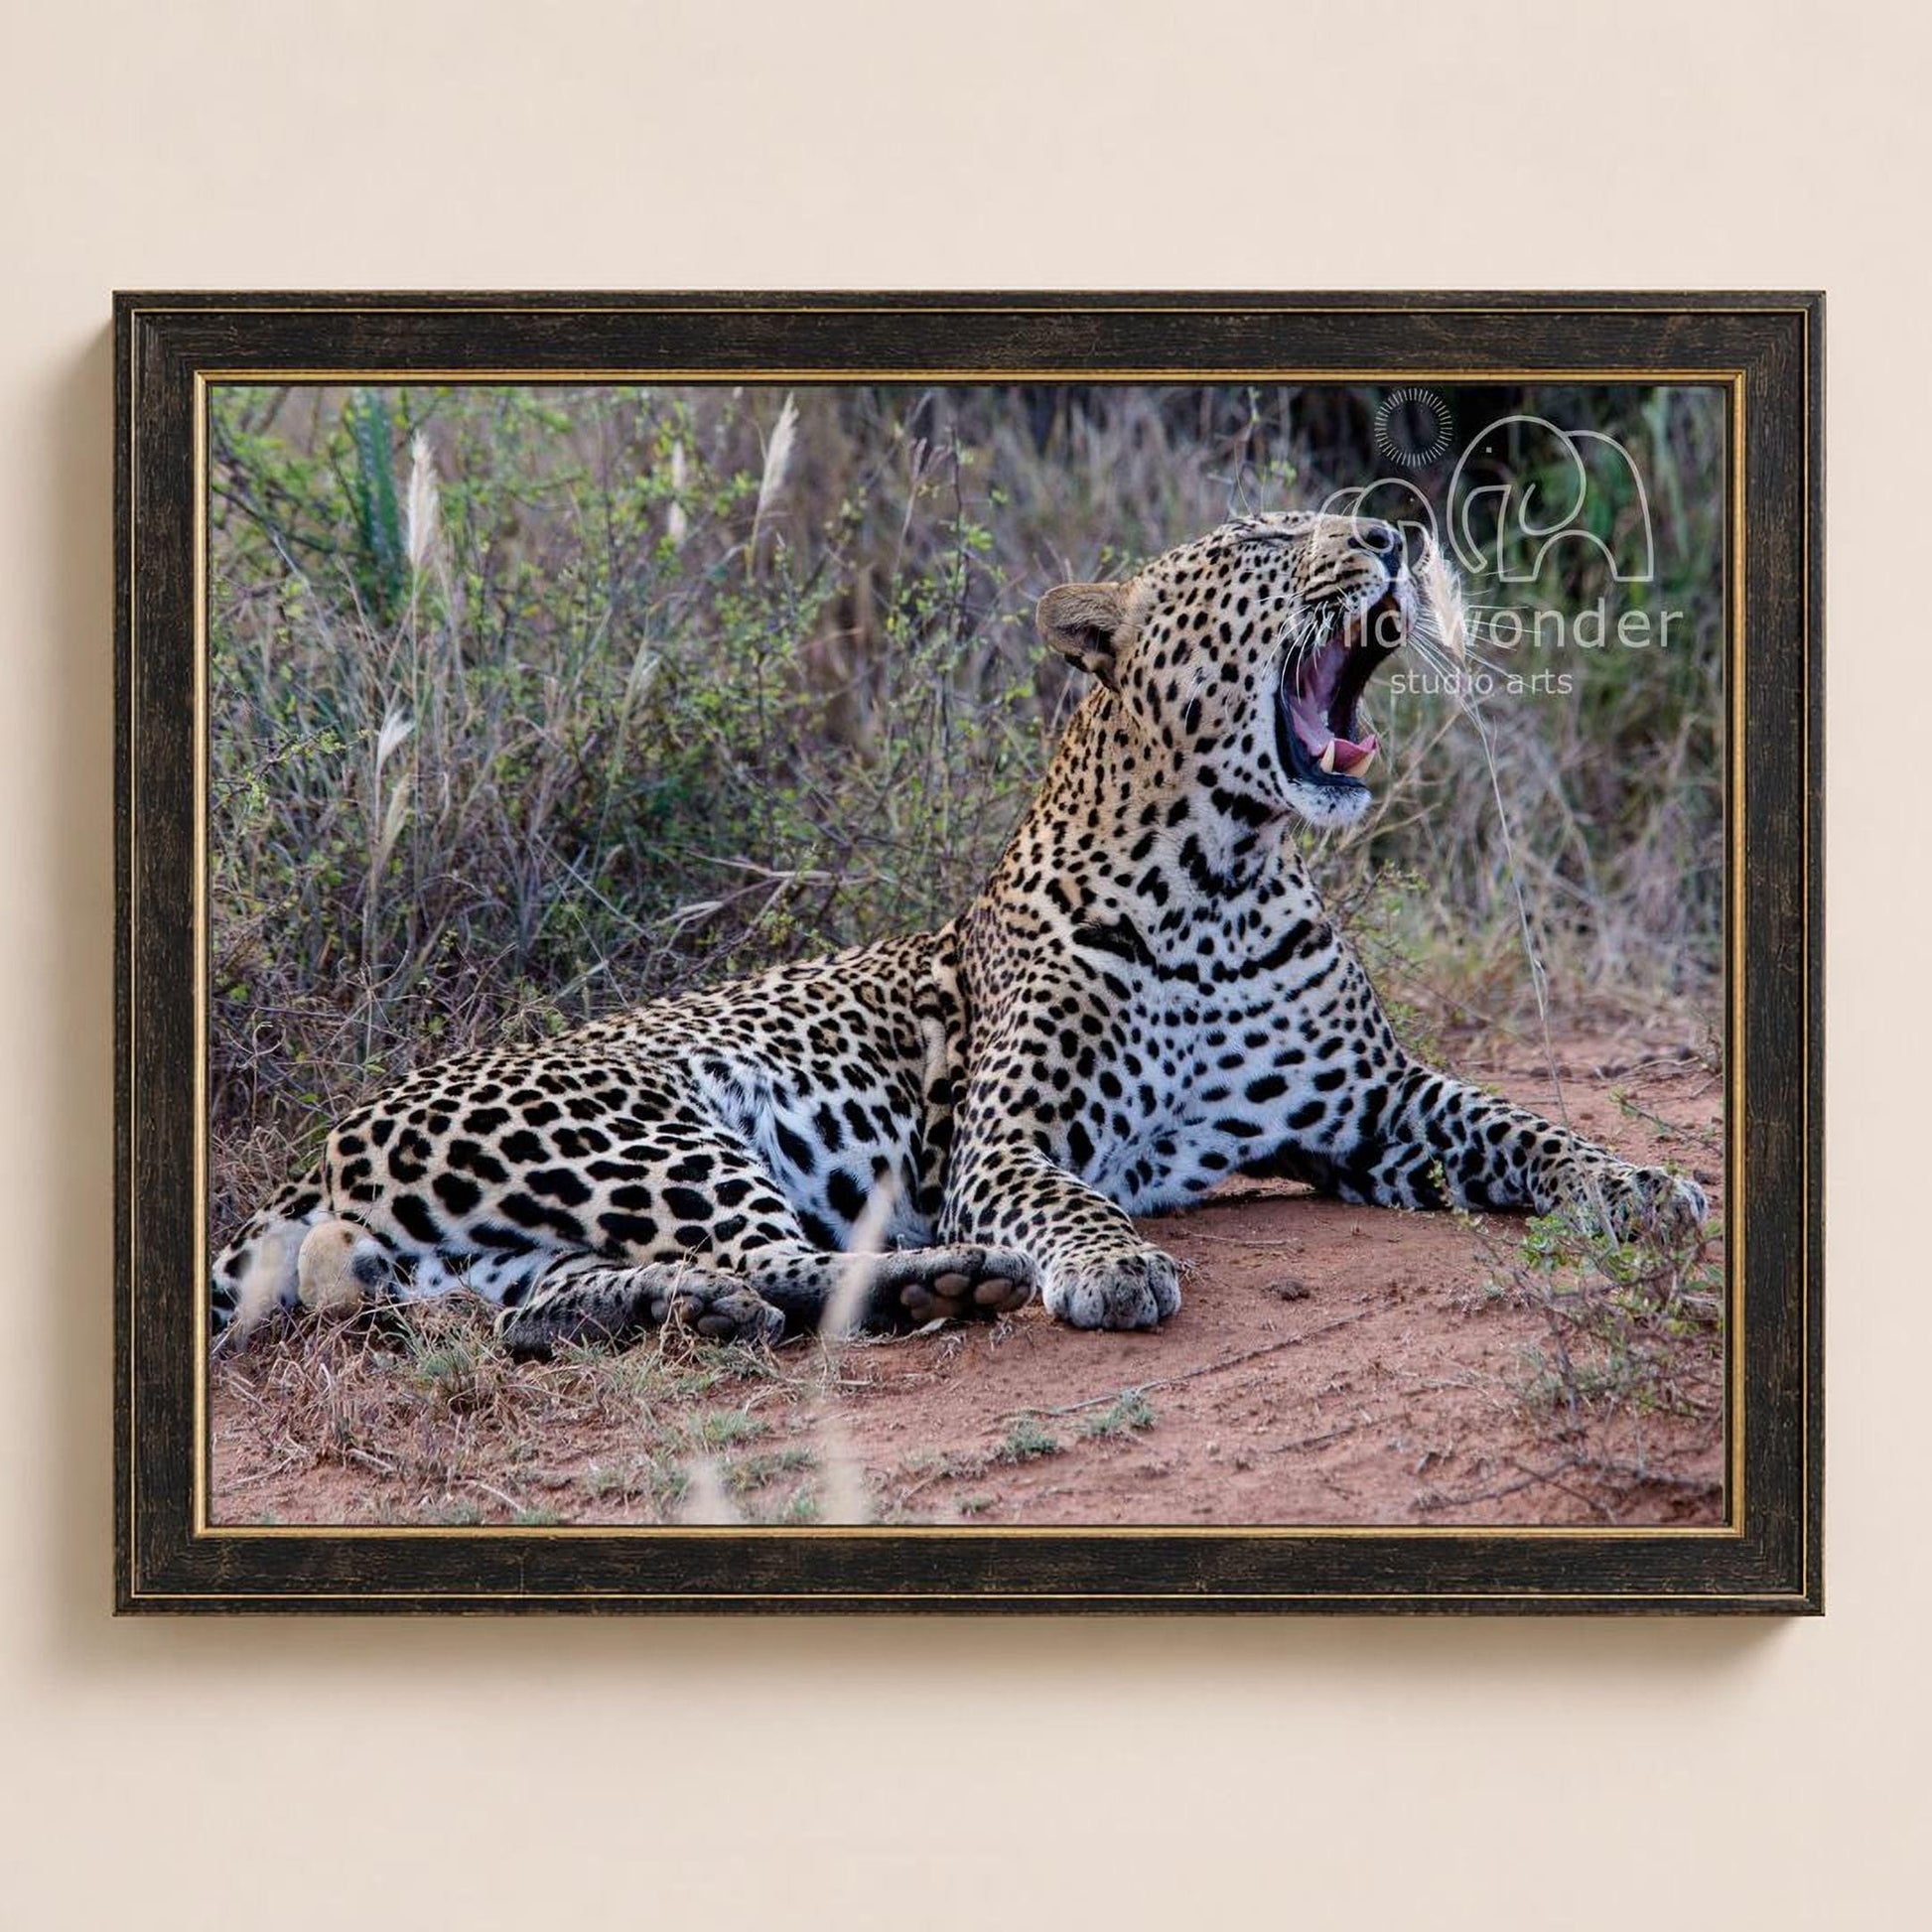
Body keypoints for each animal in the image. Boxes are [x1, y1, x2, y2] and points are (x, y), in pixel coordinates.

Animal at [212, 510, 1706, 1357]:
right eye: (1269, 542)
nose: (1392, 541)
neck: (1221, 878)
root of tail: (319, 1150)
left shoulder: (1374, 1107)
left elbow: (1523, 1123)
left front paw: (1644, 1182)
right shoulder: (1004, 1141)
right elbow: (1067, 1197)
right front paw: (1111, 1263)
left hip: (507, 1244)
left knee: (558, 1304)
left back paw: (668, 1312)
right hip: (646, 1127)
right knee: (788, 1259)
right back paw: (946, 1283)